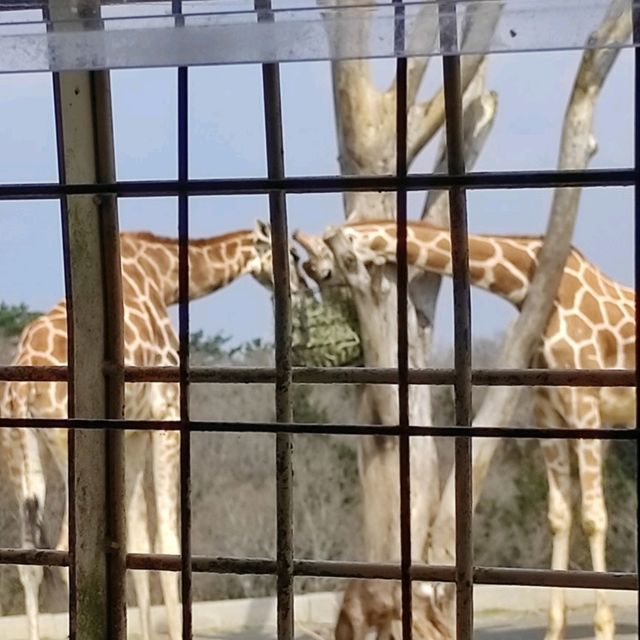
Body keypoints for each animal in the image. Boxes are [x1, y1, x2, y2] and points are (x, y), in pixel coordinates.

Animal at [0, 220, 304, 640]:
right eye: (291, 253)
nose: (302, 287)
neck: (164, 277)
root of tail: (22, 389)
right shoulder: (166, 413)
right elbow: (167, 541)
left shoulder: (134, 431)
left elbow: (136, 539)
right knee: (63, 546)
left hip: (18, 448)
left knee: (27, 560)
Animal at [296, 220, 636, 640]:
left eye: (330, 254)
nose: (315, 271)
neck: (531, 288)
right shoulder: (548, 413)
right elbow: (559, 516)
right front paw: (554, 629)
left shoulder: (585, 407)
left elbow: (593, 516)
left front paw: (603, 627)